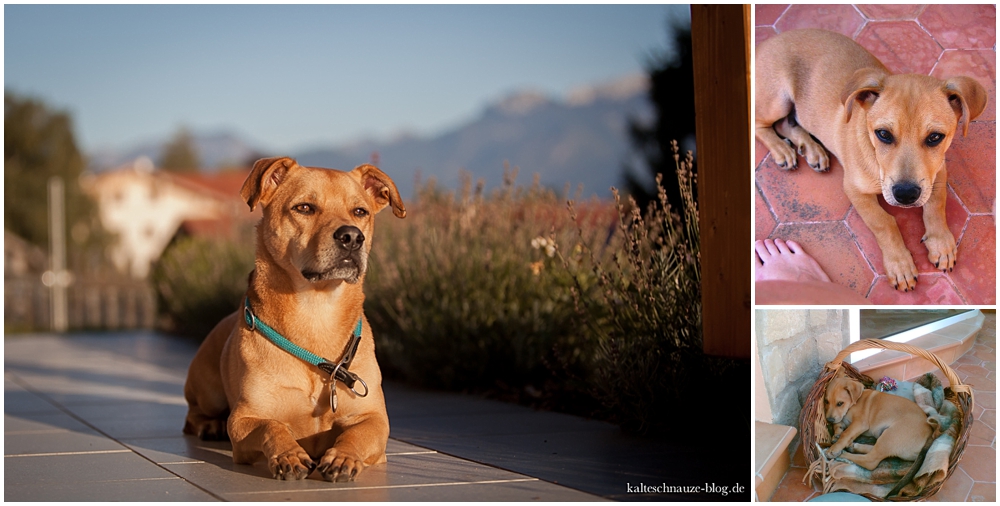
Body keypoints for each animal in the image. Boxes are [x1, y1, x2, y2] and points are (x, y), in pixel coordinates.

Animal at [184, 157, 406, 482]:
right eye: (304, 208)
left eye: (360, 212)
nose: (352, 236)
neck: (316, 313)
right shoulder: (245, 418)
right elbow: (272, 426)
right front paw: (288, 455)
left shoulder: (373, 418)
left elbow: (357, 434)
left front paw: (343, 457)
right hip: (209, 391)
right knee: (193, 414)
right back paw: (209, 425)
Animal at [756, 29, 984, 292]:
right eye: (883, 134)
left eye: (935, 137)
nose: (906, 195)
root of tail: (767, 42)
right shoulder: (854, 189)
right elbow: (883, 222)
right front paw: (900, 263)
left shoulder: (937, 171)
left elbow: (936, 204)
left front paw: (940, 242)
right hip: (776, 100)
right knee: (761, 124)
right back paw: (782, 149)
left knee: (787, 123)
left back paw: (812, 149)